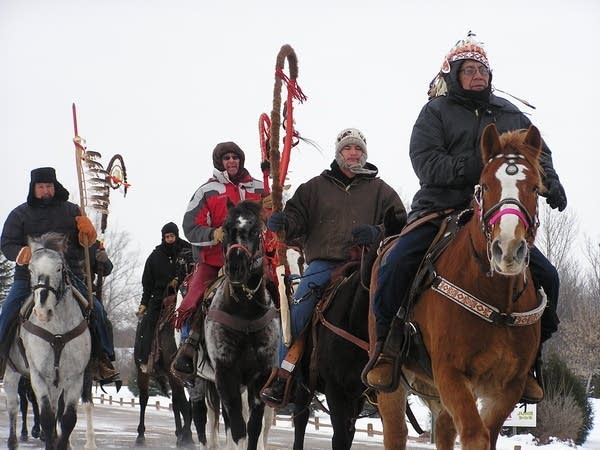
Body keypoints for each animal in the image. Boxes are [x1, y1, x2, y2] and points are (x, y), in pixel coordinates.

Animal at [2, 234, 95, 448]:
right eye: (30, 269)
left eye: (59, 268)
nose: (43, 312)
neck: (57, 331)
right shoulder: (38, 375)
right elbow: (46, 417)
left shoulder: (75, 377)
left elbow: (67, 419)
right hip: (12, 373)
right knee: (13, 407)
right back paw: (13, 441)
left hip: (57, 383)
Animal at [376, 124, 548, 450]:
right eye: (484, 186)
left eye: (535, 188)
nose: (508, 248)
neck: (498, 301)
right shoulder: (450, 373)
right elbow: (475, 436)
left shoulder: (507, 386)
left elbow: (487, 435)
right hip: (393, 383)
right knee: (396, 432)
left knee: (443, 430)